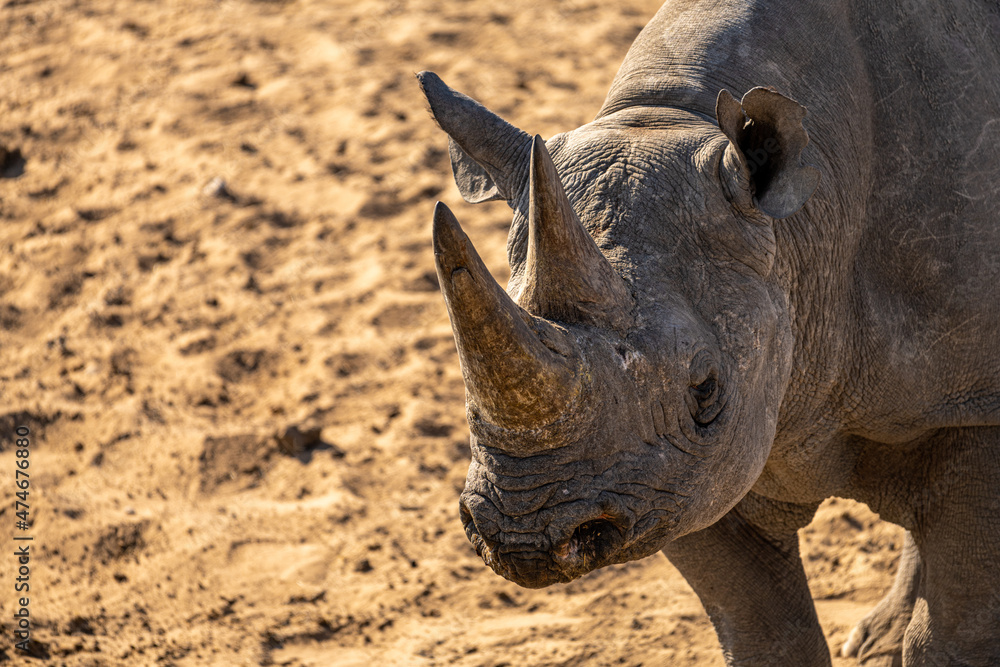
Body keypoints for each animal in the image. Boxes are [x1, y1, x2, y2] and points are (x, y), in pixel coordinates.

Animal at [417, 0, 1000, 664]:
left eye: (706, 390)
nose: (528, 537)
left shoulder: (975, 400)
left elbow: (954, 636)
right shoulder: (675, 476)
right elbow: (765, 633)